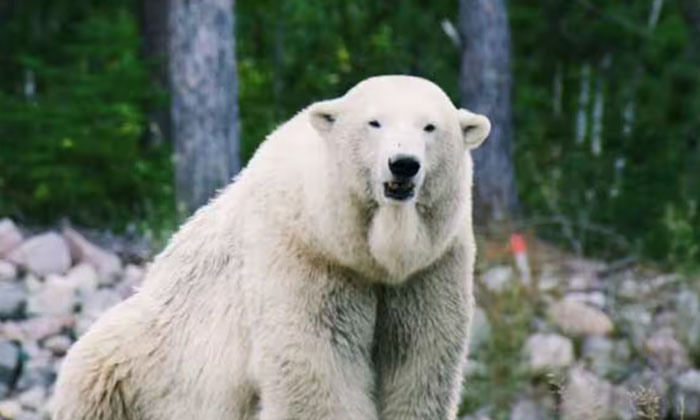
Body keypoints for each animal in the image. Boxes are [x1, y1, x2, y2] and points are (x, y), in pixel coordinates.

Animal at [52, 75, 490, 420]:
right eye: (375, 122)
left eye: (430, 127)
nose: (403, 164)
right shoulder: (304, 256)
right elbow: (318, 363)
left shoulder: (429, 268)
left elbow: (418, 360)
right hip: (136, 367)